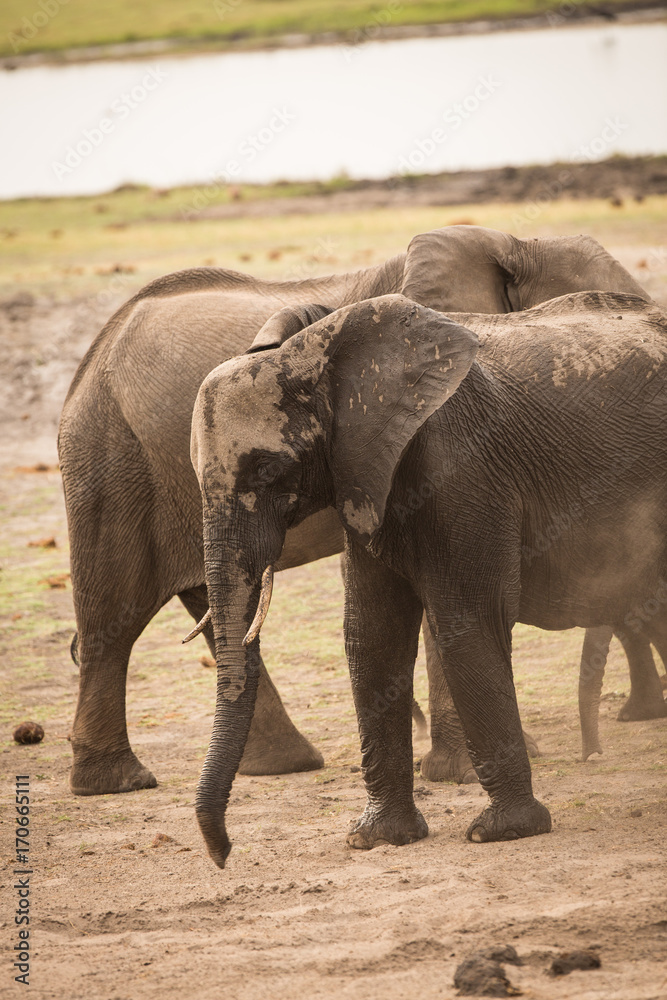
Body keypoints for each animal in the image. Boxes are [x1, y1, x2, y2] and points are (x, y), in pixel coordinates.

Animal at [58, 224, 653, 798]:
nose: (592, 754)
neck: (517, 242)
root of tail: (88, 362)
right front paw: (460, 773)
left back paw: (281, 764)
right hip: (110, 456)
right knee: (113, 618)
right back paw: (116, 783)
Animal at [190, 289, 667, 867]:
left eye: (266, 470)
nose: (223, 856)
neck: (317, 349)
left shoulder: (464, 468)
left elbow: (465, 622)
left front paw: (501, 831)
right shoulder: (365, 477)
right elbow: (371, 636)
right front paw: (375, 839)